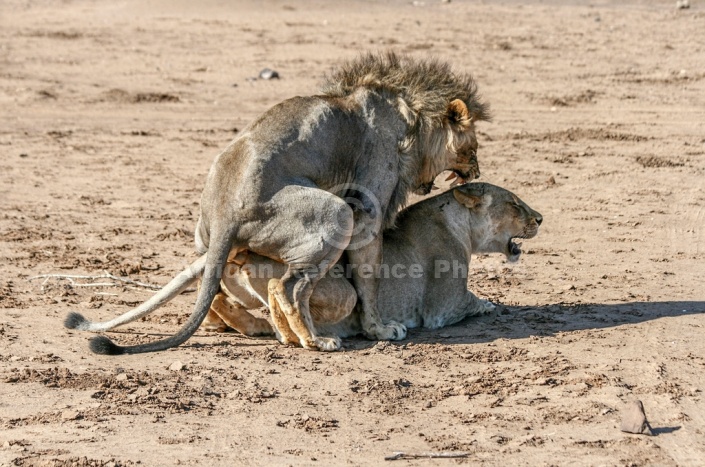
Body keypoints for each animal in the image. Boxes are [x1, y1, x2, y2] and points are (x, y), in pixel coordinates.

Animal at [64, 183, 540, 344]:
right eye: (515, 204)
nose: (540, 218)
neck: (460, 225)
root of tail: (243, 244)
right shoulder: (443, 306)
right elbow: (476, 301)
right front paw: (493, 305)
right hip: (341, 290)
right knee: (282, 298)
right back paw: (312, 338)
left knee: (221, 302)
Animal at [73, 52, 490, 354]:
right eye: (472, 147)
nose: (478, 169)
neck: (409, 117)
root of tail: (225, 213)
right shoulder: (368, 212)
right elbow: (369, 281)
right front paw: (380, 329)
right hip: (336, 213)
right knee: (289, 287)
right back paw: (313, 340)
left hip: (209, 240)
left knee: (221, 287)